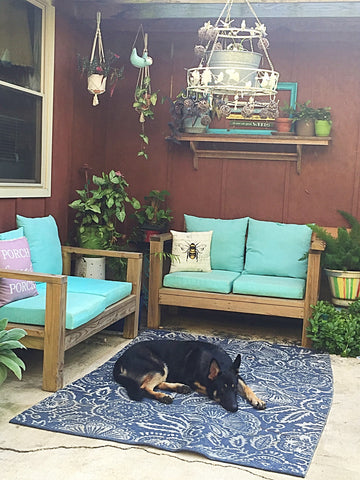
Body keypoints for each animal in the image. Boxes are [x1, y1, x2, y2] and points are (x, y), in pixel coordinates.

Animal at [114, 338, 266, 412]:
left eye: (233, 389)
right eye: (222, 390)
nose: (235, 408)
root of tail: (121, 357)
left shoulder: (237, 376)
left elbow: (246, 387)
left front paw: (256, 400)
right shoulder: (194, 381)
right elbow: (209, 390)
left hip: (162, 370)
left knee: (154, 384)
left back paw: (179, 387)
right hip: (160, 367)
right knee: (144, 387)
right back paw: (163, 396)